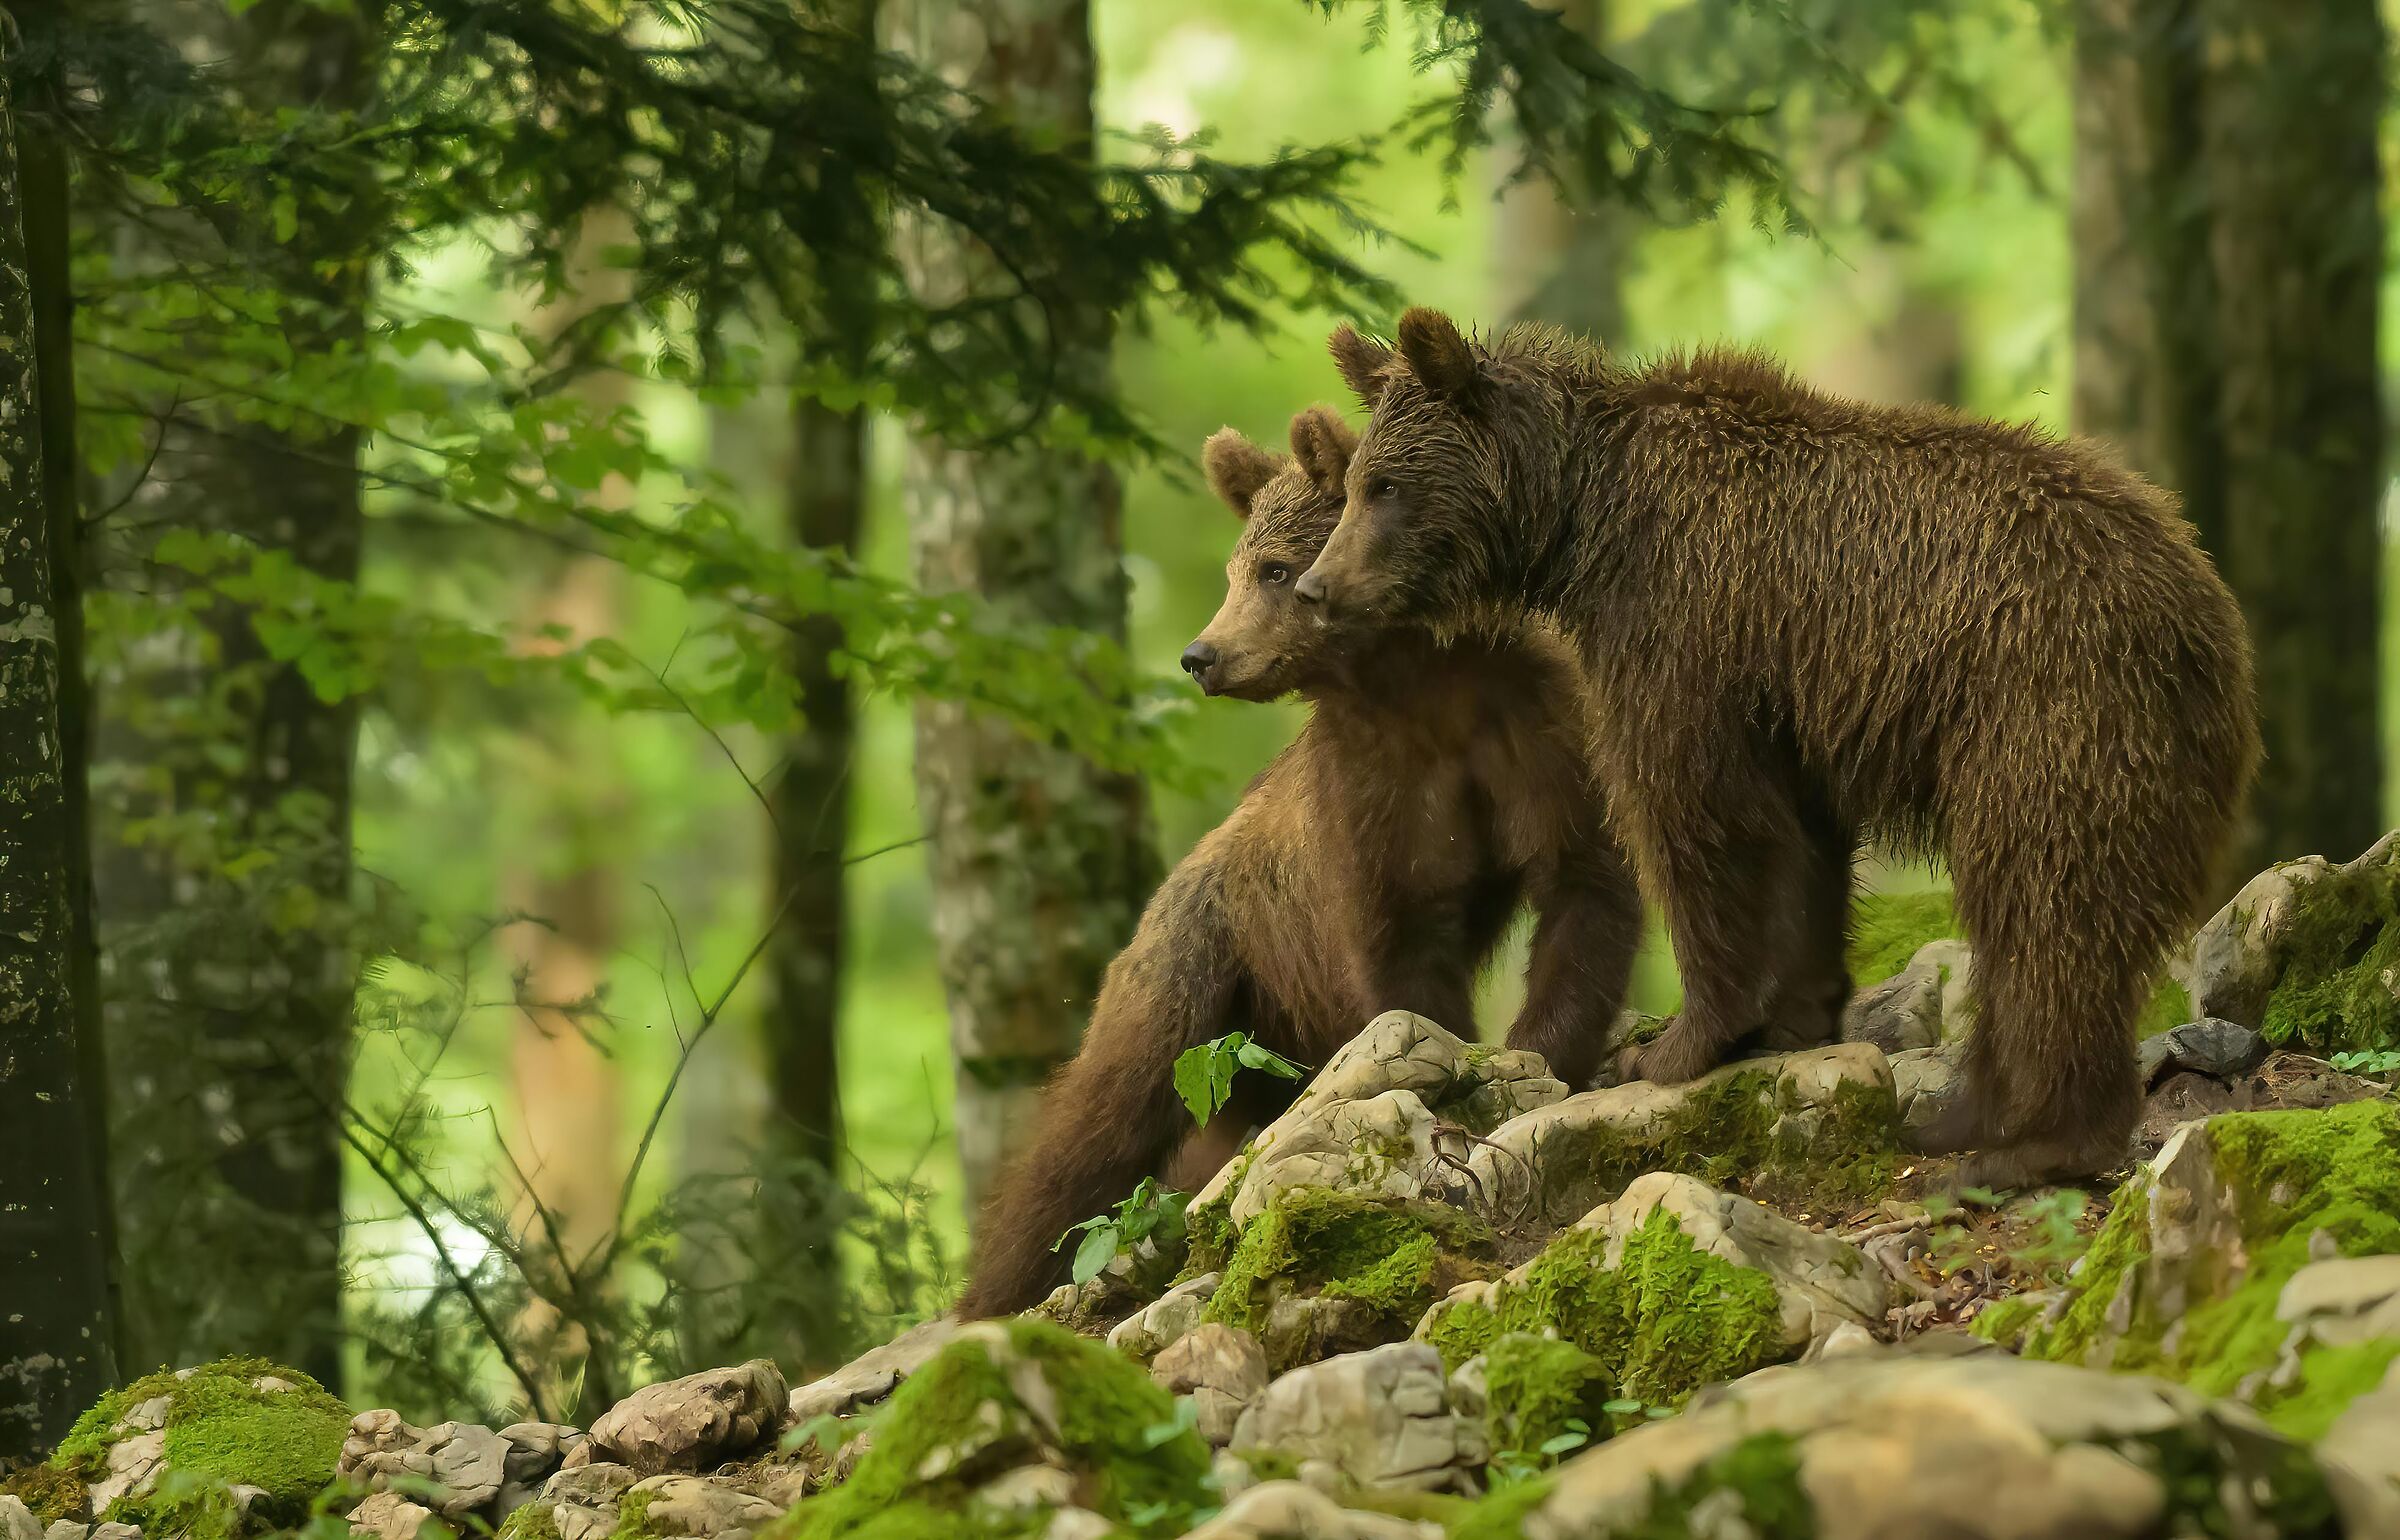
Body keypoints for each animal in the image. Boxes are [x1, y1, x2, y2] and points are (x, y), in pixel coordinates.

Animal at [954, 405, 1642, 1318]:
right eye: (1235, 569)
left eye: (1274, 569)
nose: (1200, 655)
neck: (1418, 684)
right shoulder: (1370, 796)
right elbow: (1401, 942)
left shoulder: (1530, 733)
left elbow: (1582, 882)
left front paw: (1537, 1055)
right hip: (1197, 976)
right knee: (1097, 1126)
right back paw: (995, 1290)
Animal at [1296, 309, 2259, 1190]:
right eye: (1358, 482)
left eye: (1383, 486)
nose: (1315, 586)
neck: (1583, 524)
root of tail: (2208, 612)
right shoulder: (1790, 697)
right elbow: (1804, 844)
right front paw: (1794, 1018)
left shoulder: (1685, 624)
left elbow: (1698, 820)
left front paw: (1675, 1046)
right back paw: (1963, 1116)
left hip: (2048, 712)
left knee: (2045, 904)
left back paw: (2035, 1144)